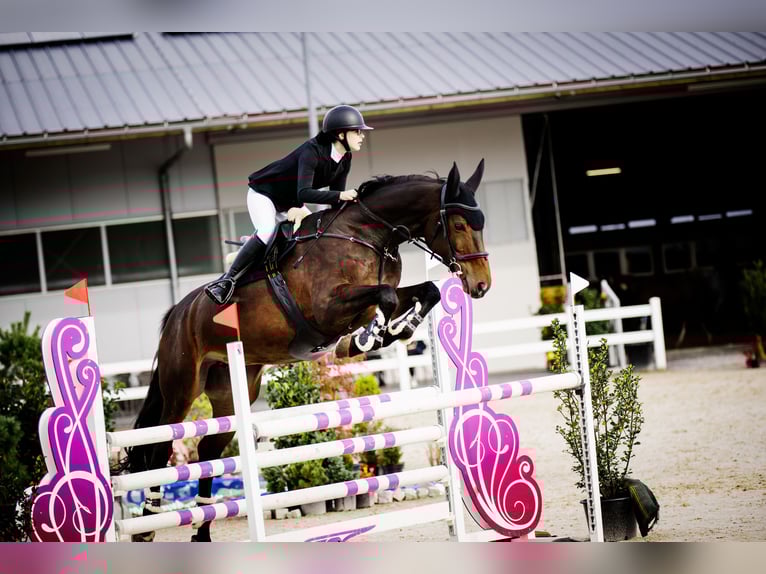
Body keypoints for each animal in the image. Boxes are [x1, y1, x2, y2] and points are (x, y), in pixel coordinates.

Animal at [125, 159, 492, 541]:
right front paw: (366, 339)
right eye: (459, 224)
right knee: (160, 447)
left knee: (207, 452)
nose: (481, 284)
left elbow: (427, 290)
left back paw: (202, 533)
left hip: (231, 389)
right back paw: (147, 526)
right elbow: (385, 299)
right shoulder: (329, 308)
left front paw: (394, 331)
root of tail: (177, 313)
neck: (371, 236)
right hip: (182, 388)